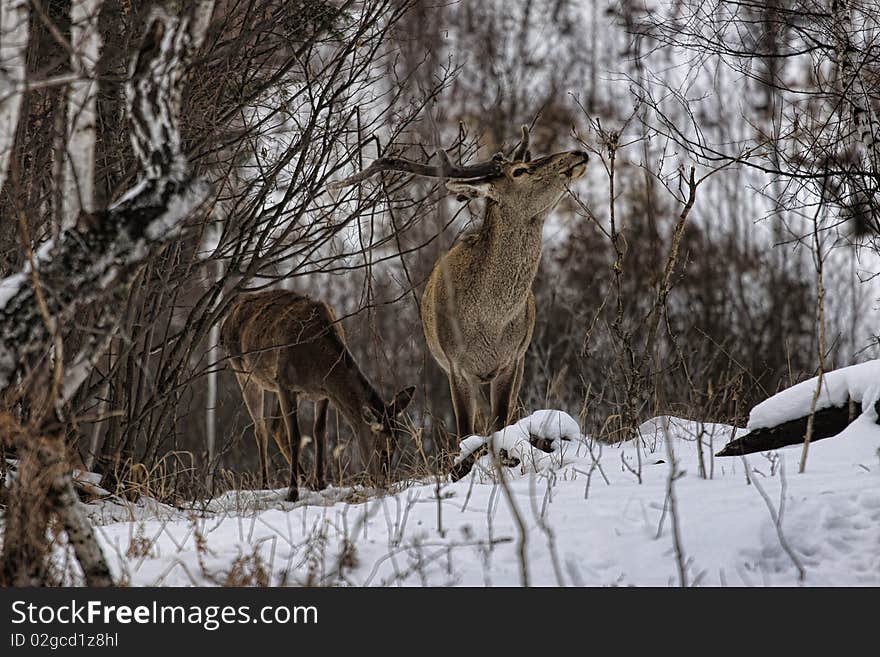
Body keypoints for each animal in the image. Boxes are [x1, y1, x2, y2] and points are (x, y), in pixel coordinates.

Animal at [218, 290, 414, 500]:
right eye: (381, 448)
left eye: (396, 446)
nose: (383, 483)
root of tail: (225, 321)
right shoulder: (286, 385)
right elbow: (296, 437)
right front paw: (292, 492)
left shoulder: (322, 393)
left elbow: (319, 431)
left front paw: (320, 483)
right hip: (243, 371)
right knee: (260, 428)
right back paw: (265, 485)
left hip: (273, 384)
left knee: (276, 428)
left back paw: (305, 480)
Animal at [334, 125, 588, 474]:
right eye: (520, 171)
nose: (577, 154)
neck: (489, 323)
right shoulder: (457, 366)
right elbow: (465, 432)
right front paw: (462, 470)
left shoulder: (511, 360)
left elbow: (500, 424)